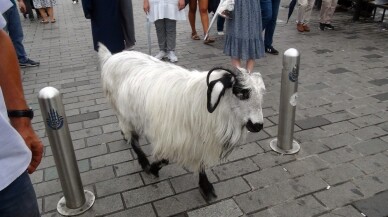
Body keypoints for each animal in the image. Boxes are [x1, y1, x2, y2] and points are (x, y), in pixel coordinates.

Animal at [98, 43, 266, 201]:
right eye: (242, 93)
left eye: (260, 93)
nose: (258, 126)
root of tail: (112, 57)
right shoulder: (171, 137)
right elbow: (165, 159)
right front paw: (153, 168)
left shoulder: (198, 140)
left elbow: (201, 163)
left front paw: (206, 187)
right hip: (124, 112)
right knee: (133, 139)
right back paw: (144, 162)